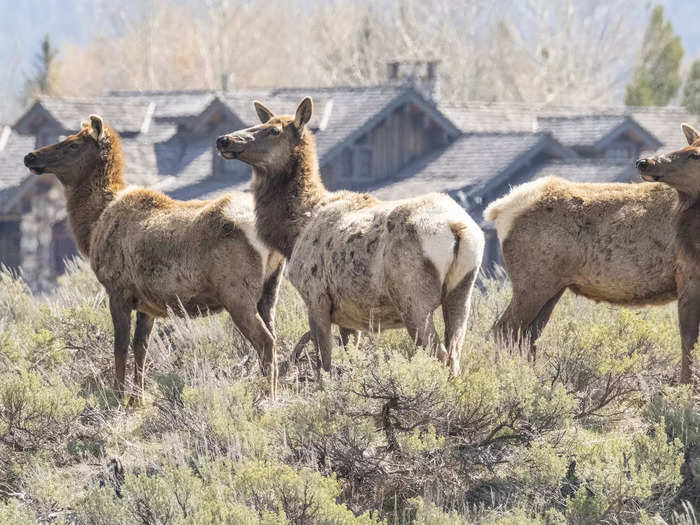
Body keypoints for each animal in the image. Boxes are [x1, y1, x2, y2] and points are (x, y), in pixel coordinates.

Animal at [23, 115, 284, 402]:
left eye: (72, 144)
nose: (30, 156)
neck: (92, 226)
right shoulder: (147, 304)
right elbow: (141, 348)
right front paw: (137, 398)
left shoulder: (118, 289)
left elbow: (120, 346)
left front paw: (118, 397)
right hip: (270, 290)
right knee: (274, 336)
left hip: (236, 293)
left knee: (266, 341)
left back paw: (268, 396)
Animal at [216, 95, 484, 372]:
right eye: (264, 122)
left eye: (274, 130)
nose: (224, 139)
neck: (293, 232)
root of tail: (458, 228)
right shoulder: (348, 317)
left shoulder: (316, 296)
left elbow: (324, 363)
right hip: (462, 291)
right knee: (454, 354)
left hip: (413, 297)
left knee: (439, 354)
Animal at [486, 125, 700, 382]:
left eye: (694, 153)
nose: (644, 162)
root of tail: (500, 209)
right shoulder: (687, 277)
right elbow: (689, 341)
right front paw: (685, 387)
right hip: (532, 282)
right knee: (503, 331)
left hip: (553, 286)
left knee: (527, 336)